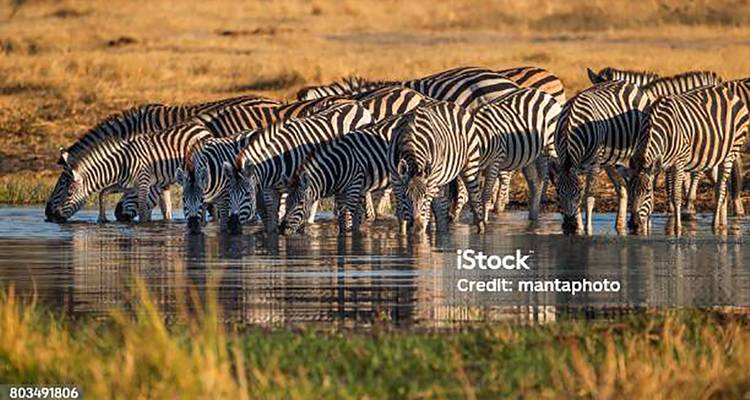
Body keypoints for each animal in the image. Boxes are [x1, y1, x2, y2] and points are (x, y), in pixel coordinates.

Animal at [225, 103, 373, 234]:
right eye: (229, 194)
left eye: (247, 194)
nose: (231, 225)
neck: (276, 160)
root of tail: (356, 105)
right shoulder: (271, 190)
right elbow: (273, 220)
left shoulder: (293, 186)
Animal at [389, 101, 484, 235]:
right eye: (405, 196)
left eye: (424, 196)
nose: (416, 227)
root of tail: (450, 102)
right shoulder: (395, 179)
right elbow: (401, 214)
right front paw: (403, 235)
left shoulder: (430, 182)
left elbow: (425, 213)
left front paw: (420, 234)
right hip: (442, 178)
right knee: (442, 207)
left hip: (470, 165)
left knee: (475, 198)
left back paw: (480, 229)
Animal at [553, 81, 650, 235]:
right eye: (557, 192)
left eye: (578, 192)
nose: (568, 225)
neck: (570, 126)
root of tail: (628, 82)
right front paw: (578, 228)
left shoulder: (594, 164)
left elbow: (589, 197)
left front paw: (588, 229)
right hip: (610, 160)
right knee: (622, 187)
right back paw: (620, 225)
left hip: (637, 148)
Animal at [629, 84, 748, 236]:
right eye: (630, 190)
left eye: (647, 191)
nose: (633, 224)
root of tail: (729, 92)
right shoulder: (664, 164)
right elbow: (665, 191)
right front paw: (648, 226)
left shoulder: (678, 162)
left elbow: (676, 196)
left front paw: (677, 228)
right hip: (712, 158)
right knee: (722, 188)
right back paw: (723, 224)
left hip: (731, 152)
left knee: (720, 189)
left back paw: (715, 225)